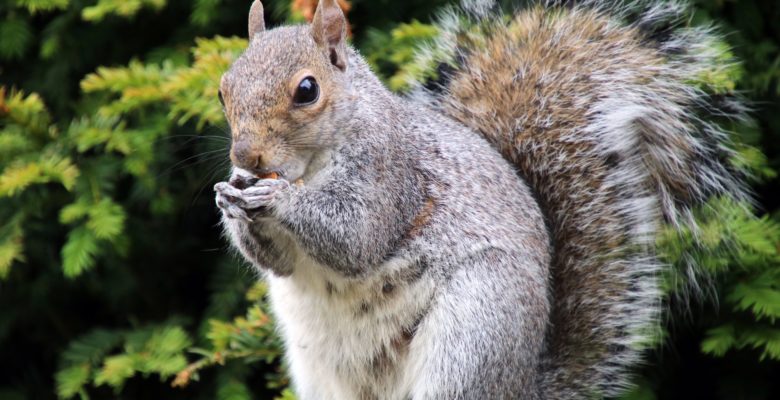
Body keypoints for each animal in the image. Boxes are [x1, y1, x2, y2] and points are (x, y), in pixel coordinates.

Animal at [213, 1, 748, 398]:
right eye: (223, 89)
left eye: (307, 90)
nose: (246, 156)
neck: (310, 166)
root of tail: (522, 387)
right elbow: (280, 262)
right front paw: (232, 199)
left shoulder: (391, 176)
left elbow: (356, 237)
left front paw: (277, 196)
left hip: (475, 333)